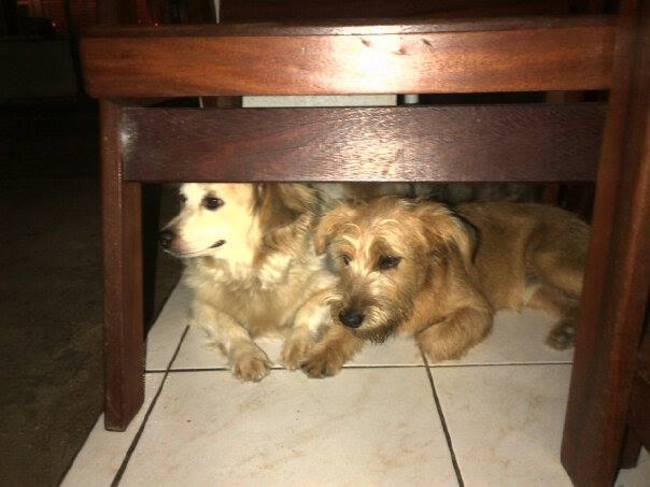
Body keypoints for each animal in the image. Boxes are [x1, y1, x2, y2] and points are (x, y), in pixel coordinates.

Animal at [301, 198, 589, 377]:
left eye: (388, 260)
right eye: (345, 259)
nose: (349, 318)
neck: (420, 290)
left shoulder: (478, 309)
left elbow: (433, 339)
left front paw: (424, 334)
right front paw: (325, 350)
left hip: (553, 261)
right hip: (535, 288)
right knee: (571, 304)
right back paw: (567, 331)